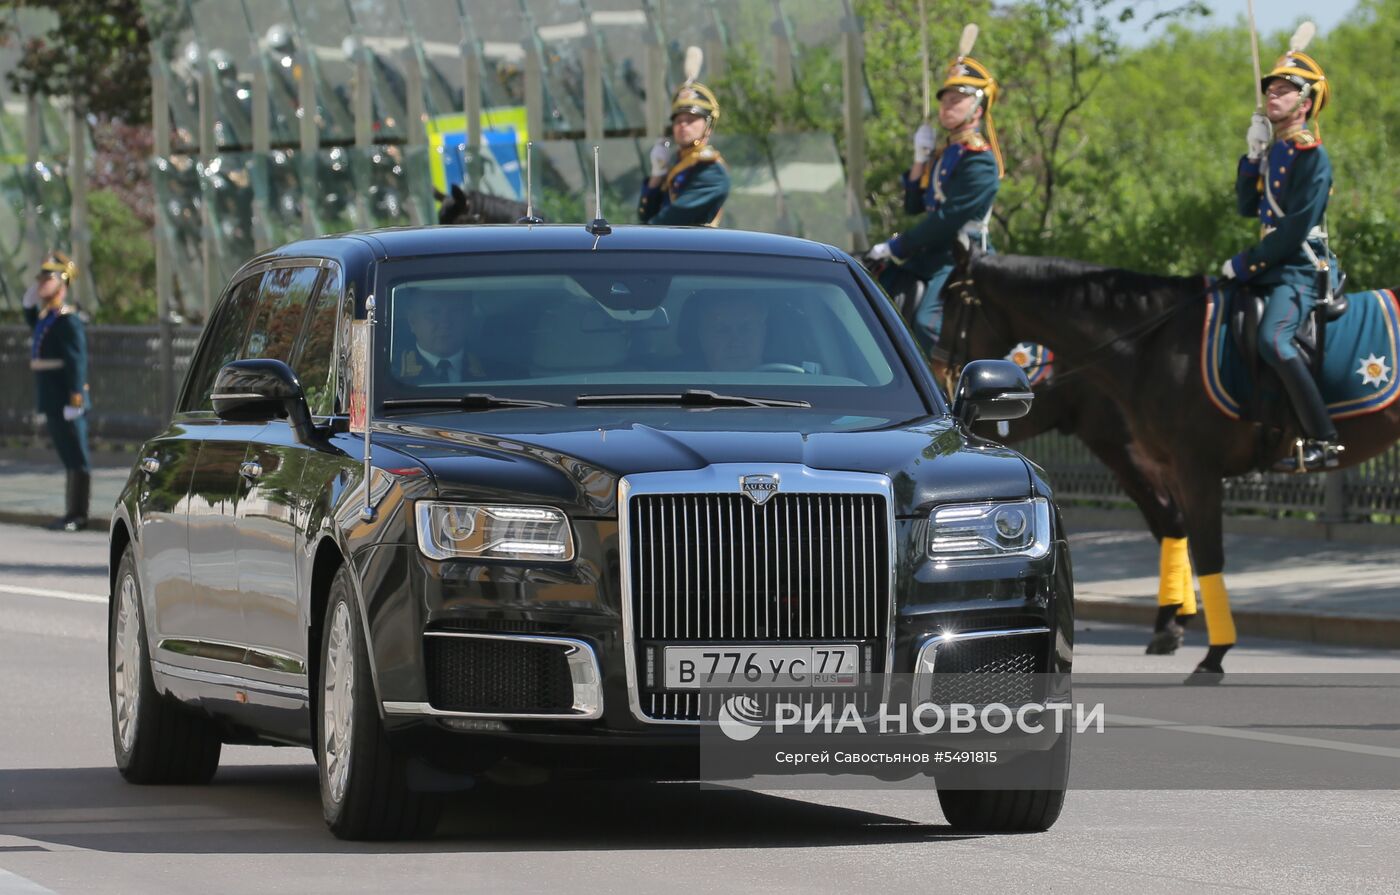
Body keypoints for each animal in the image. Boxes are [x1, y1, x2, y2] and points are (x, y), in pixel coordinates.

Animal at [935, 245, 1400, 677]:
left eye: (951, 300)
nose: (944, 374)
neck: (1154, 343)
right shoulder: (1172, 467)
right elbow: (1183, 537)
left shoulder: (1196, 469)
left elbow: (1208, 552)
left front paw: (1214, 655)